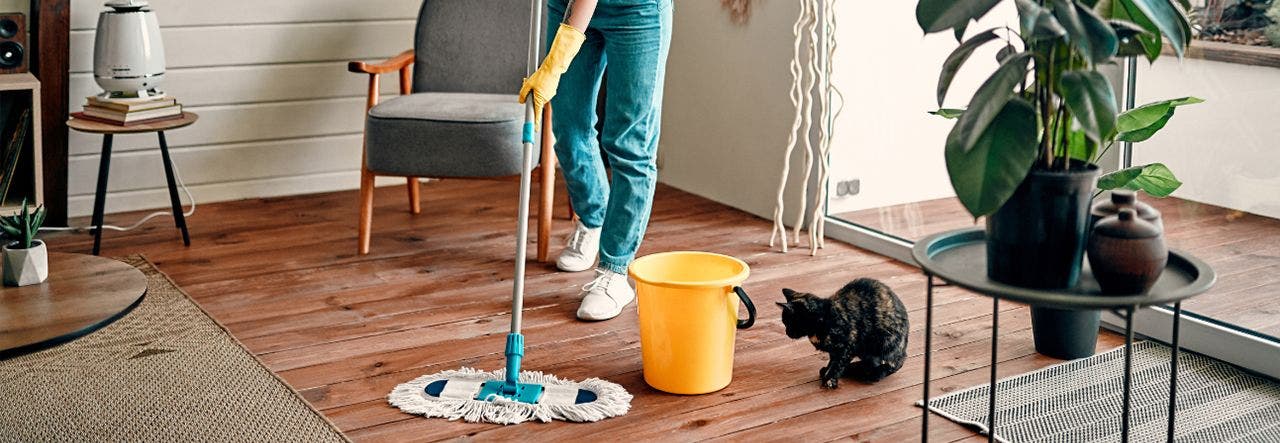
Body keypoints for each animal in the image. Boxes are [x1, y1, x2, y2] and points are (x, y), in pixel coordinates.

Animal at [778, 279, 911, 389]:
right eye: (784, 323)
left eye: (788, 322)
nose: (787, 332)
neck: (824, 317)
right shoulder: (835, 350)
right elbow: (832, 361)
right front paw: (827, 371)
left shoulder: (847, 347)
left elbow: (838, 364)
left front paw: (830, 380)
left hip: (884, 342)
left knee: (896, 362)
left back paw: (876, 374)